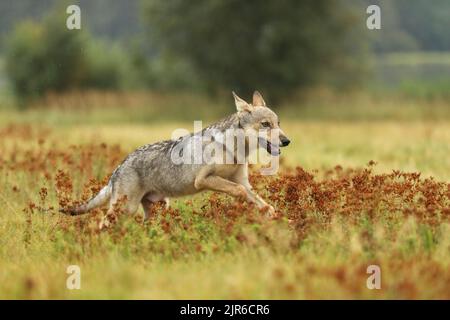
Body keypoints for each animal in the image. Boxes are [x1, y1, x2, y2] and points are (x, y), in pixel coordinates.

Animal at [59, 90, 290, 228]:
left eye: (278, 123)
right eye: (265, 124)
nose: (287, 140)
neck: (235, 148)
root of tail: (117, 168)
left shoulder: (243, 181)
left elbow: (265, 205)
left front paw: (281, 220)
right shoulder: (204, 180)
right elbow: (239, 191)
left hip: (159, 207)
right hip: (126, 209)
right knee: (102, 225)